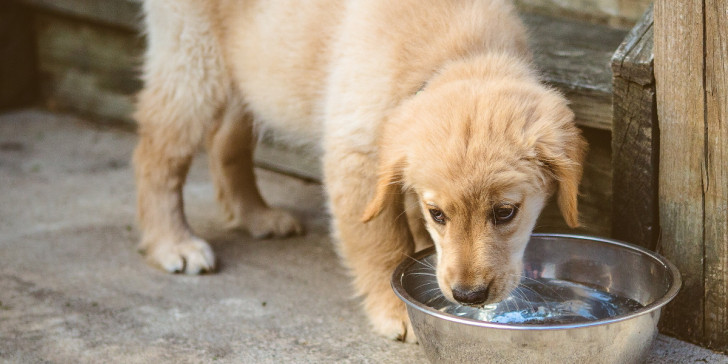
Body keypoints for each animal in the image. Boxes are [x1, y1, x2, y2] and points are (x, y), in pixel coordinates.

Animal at [132, 0, 584, 344]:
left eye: (505, 213)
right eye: (438, 214)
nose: (468, 295)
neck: (460, 55)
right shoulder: (358, 156)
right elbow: (382, 242)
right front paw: (395, 310)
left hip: (251, 72)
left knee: (226, 141)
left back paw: (256, 216)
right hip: (193, 61)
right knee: (157, 152)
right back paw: (173, 243)